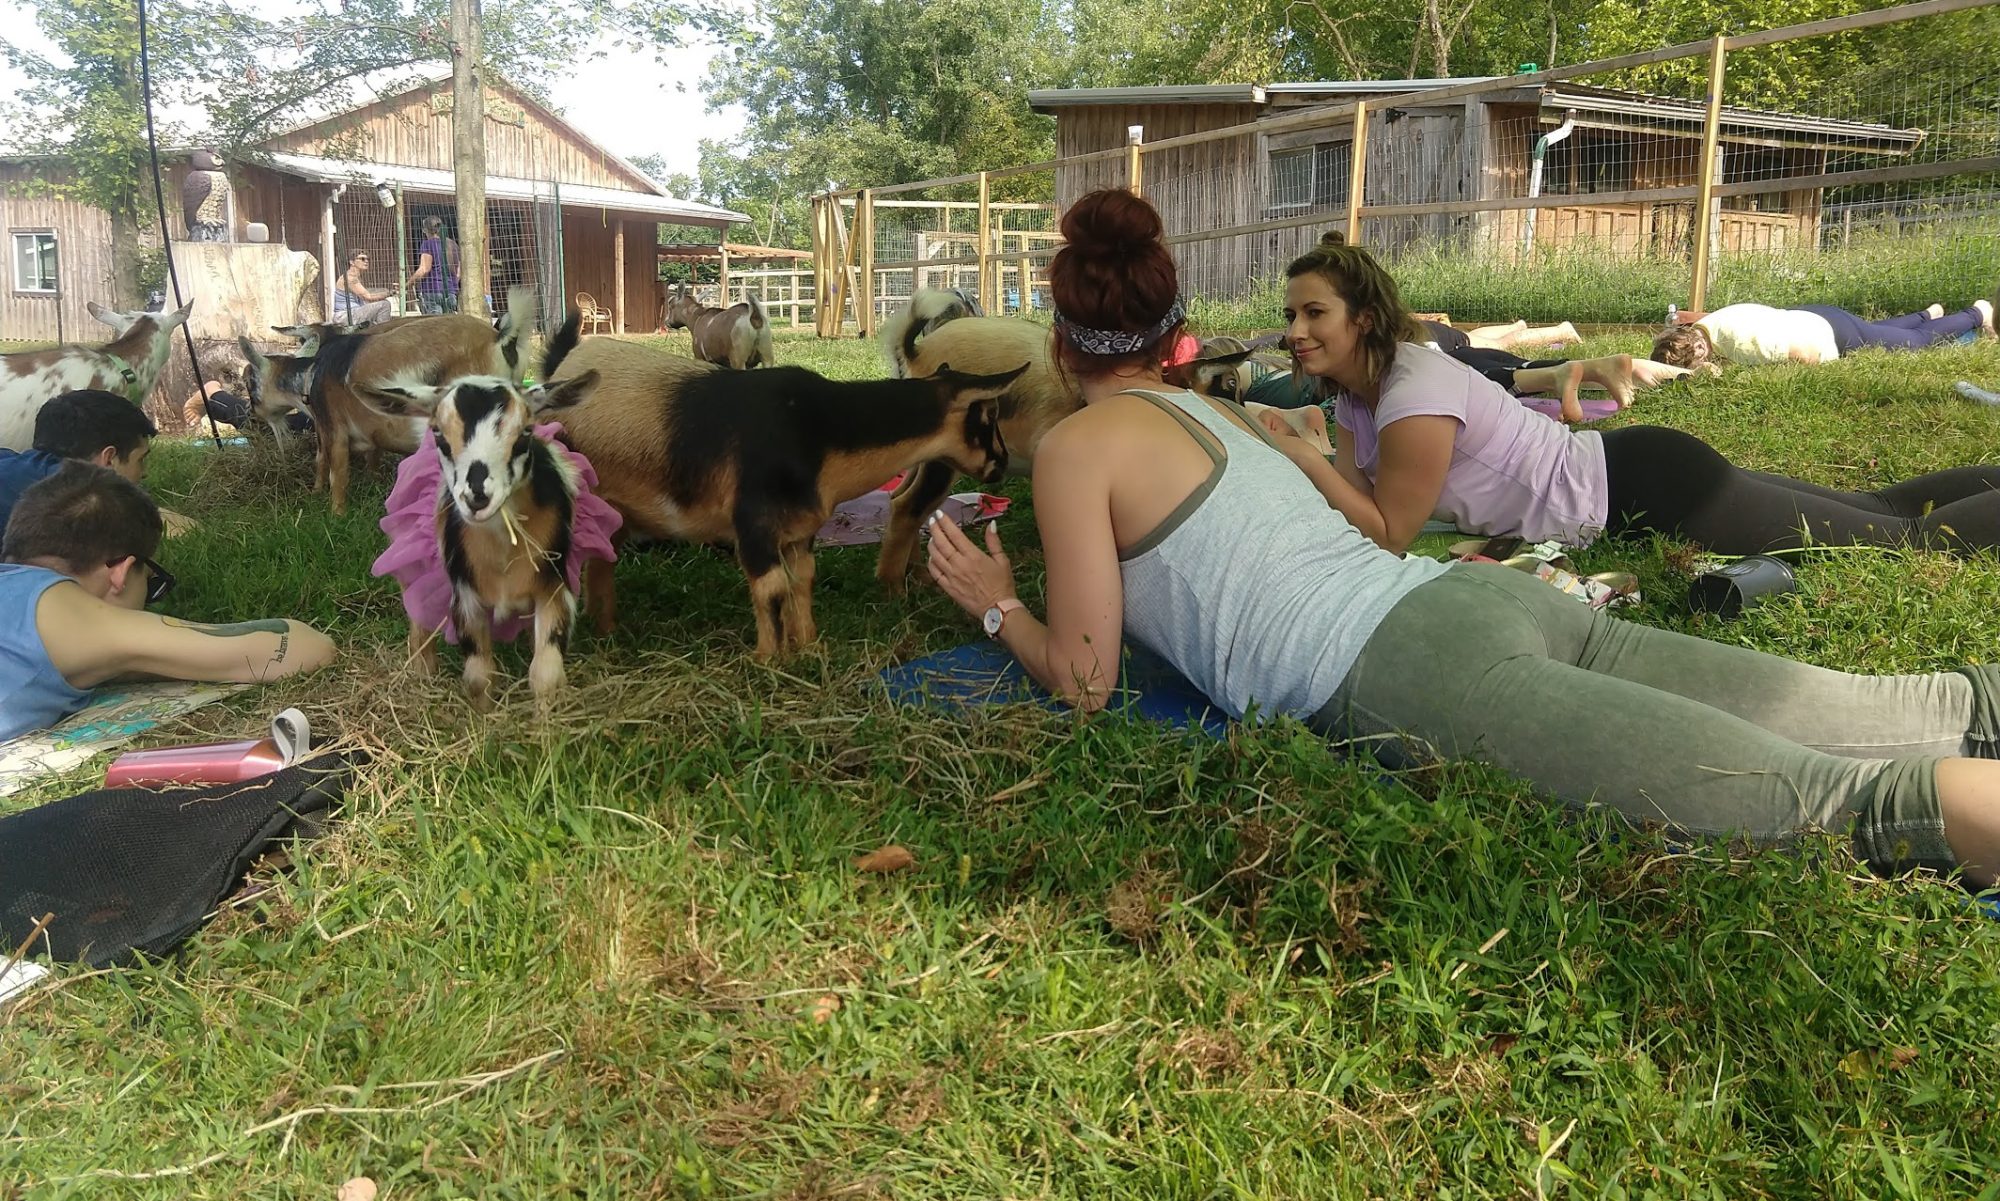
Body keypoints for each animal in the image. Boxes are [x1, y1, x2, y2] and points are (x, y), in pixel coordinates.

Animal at [239, 298, 536, 512]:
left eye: (249, 382)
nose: (251, 415)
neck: (313, 372)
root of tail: (501, 339)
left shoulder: (332, 427)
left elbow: (333, 468)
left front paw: (332, 508)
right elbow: (369, 455)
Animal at [544, 318, 1024, 656]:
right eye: (987, 416)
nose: (1001, 465)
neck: (820, 431)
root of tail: (558, 371)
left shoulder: (799, 532)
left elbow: (802, 581)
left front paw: (809, 646)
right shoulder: (753, 526)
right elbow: (772, 588)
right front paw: (768, 661)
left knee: (603, 559)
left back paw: (607, 628)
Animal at [880, 288, 1088, 596]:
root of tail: (915, 354)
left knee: (899, 497)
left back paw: (920, 578)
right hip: (942, 457)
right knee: (908, 505)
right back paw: (895, 592)